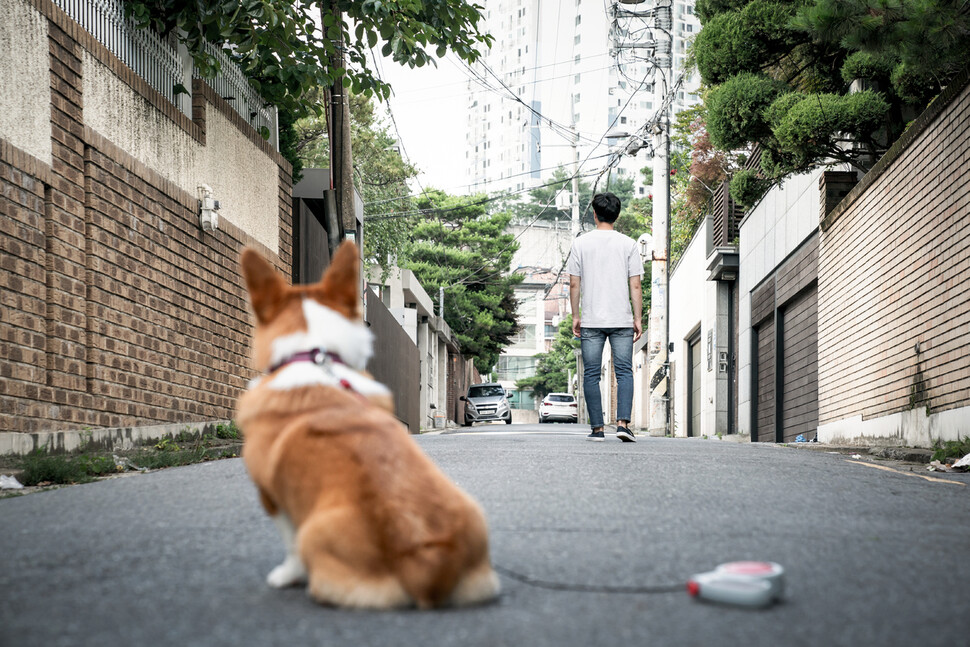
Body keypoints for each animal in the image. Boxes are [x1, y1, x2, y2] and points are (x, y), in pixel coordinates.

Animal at [234, 240, 500, 612]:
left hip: (318, 534)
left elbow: (289, 542)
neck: (315, 355)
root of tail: (427, 561)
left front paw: (285, 576)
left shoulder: (272, 495)